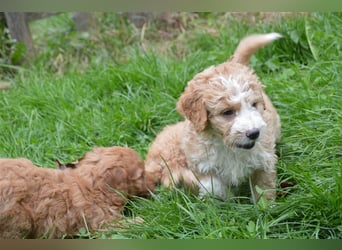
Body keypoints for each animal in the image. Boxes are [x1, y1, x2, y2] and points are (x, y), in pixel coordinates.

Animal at [0, 146, 154, 238]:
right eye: (141, 175)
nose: (155, 184)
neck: (90, 181)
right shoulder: (102, 222)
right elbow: (129, 224)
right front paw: (144, 221)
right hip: (19, 221)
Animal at [146, 32, 282, 201]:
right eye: (227, 112)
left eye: (254, 105)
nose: (254, 133)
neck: (229, 147)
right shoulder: (201, 164)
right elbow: (213, 186)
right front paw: (228, 199)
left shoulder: (264, 160)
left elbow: (263, 189)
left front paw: (266, 206)